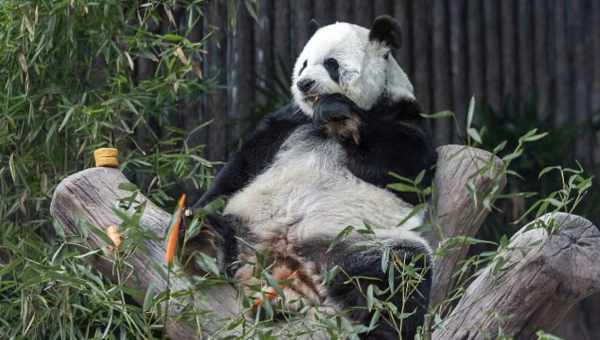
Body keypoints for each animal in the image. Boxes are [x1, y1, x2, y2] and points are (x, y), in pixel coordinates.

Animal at [188, 14, 436, 338]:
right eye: (304, 63)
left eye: (331, 63)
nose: (304, 84)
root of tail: (282, 252)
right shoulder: (289, 121)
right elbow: (243, 164)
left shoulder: (402, 114)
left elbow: (410, 171)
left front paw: (339, 112)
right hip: (246, 219)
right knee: (214, 223)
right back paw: (200, 241)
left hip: (356, 240)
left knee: (400, 274)